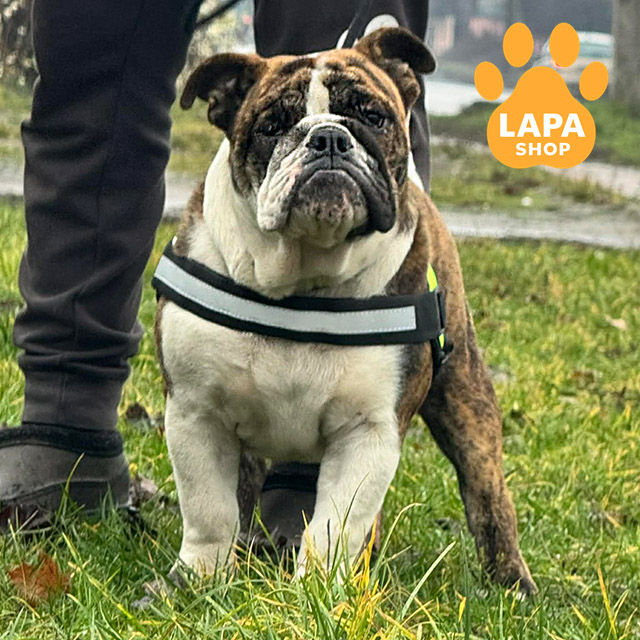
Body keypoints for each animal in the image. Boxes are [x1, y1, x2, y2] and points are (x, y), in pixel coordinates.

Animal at [154, 27, 536, 594]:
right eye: (271, 127)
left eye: (373, 116)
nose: (328, 139)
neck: (305, 278)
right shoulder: (196, 414)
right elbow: (208, 509)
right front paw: (200, 579)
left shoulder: (369, 432)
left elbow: (337, 523)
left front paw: (316, 589)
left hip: (466, 397)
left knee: (486, 489)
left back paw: (512, 581)